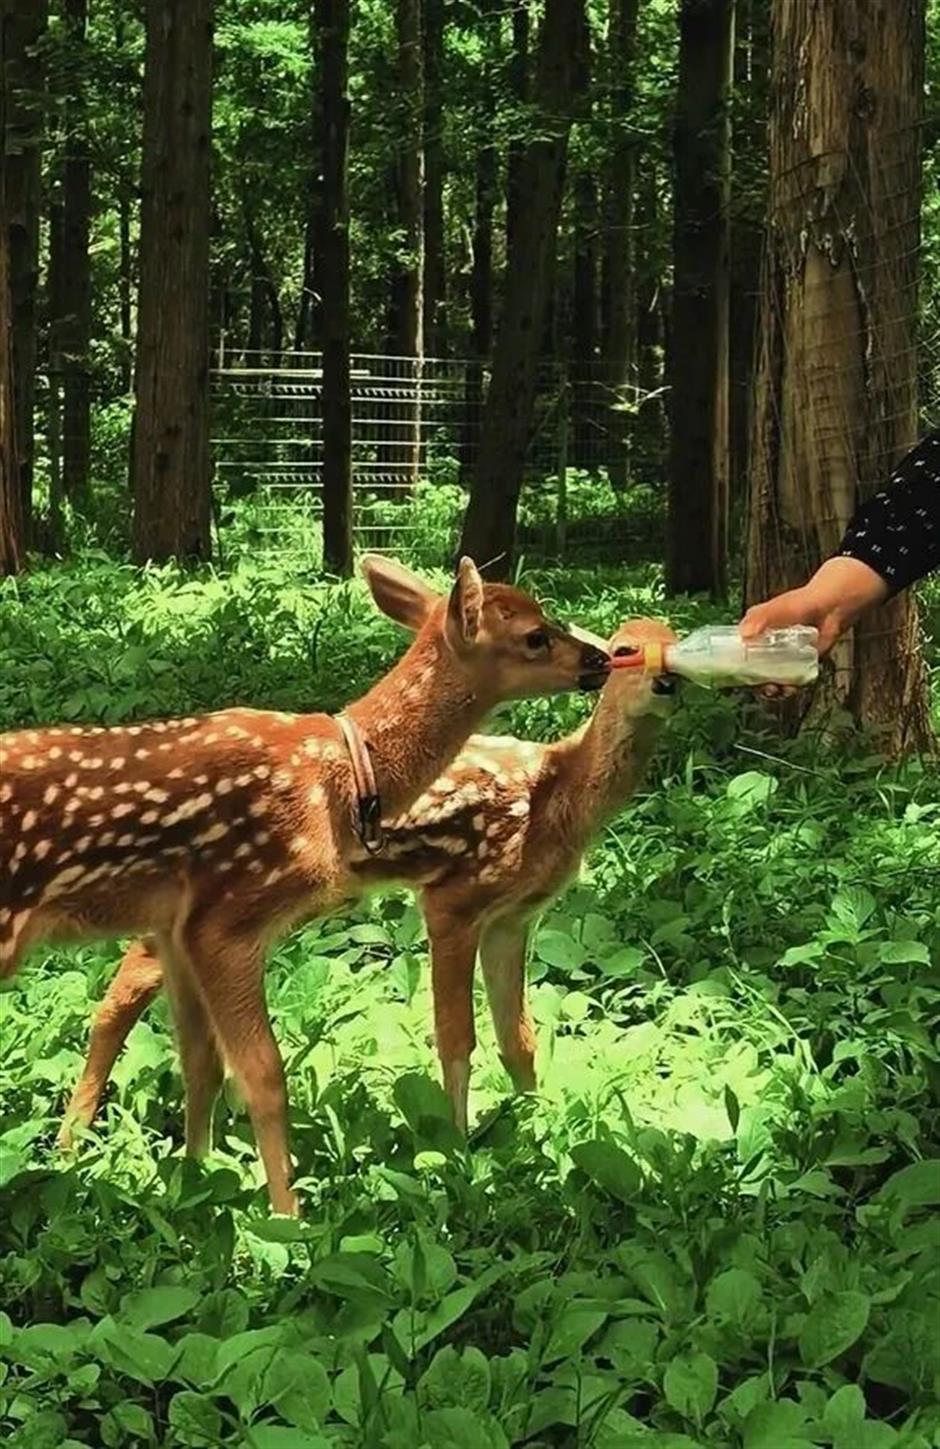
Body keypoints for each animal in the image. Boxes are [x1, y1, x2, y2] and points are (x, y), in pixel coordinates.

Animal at [0, 555, 611, 1215]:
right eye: (534, 635)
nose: (600, 659)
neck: (344, 776)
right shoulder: (229, 917)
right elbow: (265, 1075)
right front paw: (287, 1218)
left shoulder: (177, 926)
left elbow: (200, 1061)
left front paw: (196, 1180)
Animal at [57, 617, 676, 1155]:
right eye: (624, 648)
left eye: (674, 642)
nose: (667, 682)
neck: (555, 797)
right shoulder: (455, 897)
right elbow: (456, 1037)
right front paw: (458, 1147)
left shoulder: (515, 916)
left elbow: (517, 1037)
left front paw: (540, 1126)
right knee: (130, 981)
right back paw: (72, 1137)